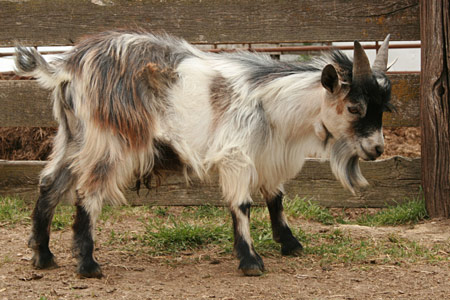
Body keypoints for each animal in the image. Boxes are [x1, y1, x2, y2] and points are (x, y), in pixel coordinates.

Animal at [14, 30, 390, 276]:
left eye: (383, 109)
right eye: (354, 108)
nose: (377, 149)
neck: (273, 103)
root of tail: (69, 66)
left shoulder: (267, 155)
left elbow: (276, 199)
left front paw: (290, 244)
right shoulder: (236, 153)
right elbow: (242, 205)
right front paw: (251, 261)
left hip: (73, 137)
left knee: (49, 184)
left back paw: (43, 255)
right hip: (110, 140)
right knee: (87, 192)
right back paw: (88, 265)